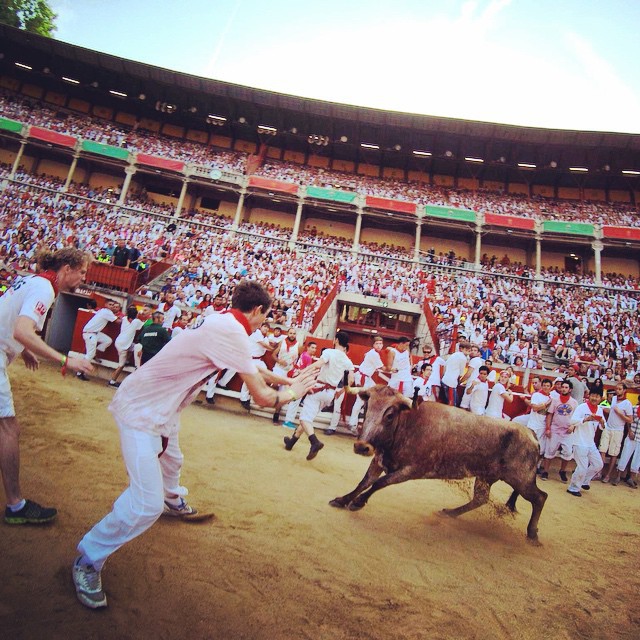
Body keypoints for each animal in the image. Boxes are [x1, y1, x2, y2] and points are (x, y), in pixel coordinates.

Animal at [332, 384, 548, 540]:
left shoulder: (410, 470)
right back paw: (449, 513)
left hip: (521, 479)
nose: (362, 447)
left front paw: (358, 502)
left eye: (390, 415)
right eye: (366, 408)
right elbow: (364, 482)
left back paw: (532, 533)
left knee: (540, 497)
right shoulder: (379, 460)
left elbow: (379, 483)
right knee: (481, 498)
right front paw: (342, 500)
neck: (408, 425)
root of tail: (530, 433)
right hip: (487, 476)